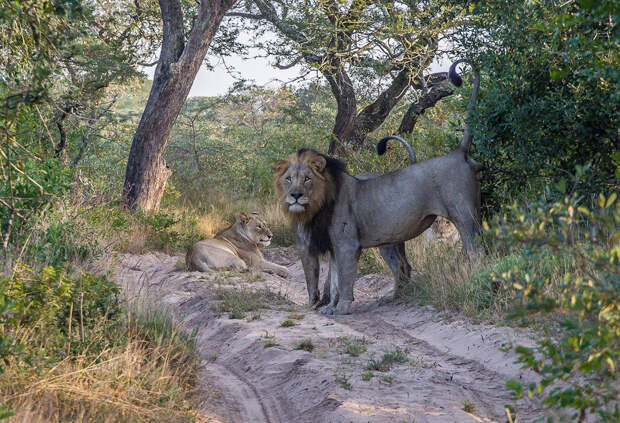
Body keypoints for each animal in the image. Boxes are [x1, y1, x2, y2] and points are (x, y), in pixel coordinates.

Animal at [274, 58, 482, 314]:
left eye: (307, 179)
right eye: (288, 179)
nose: (295, 195)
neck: (318, 207)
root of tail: (459, 152)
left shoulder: (346, 244)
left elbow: (343, 278)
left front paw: (341, 307)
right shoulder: (332, 245)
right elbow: (333, 277)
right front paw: (329, 307)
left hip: (465, 217)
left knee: (476, 252)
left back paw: (477, 281)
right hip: (395, 237)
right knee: (404, 268)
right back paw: (392, 297)